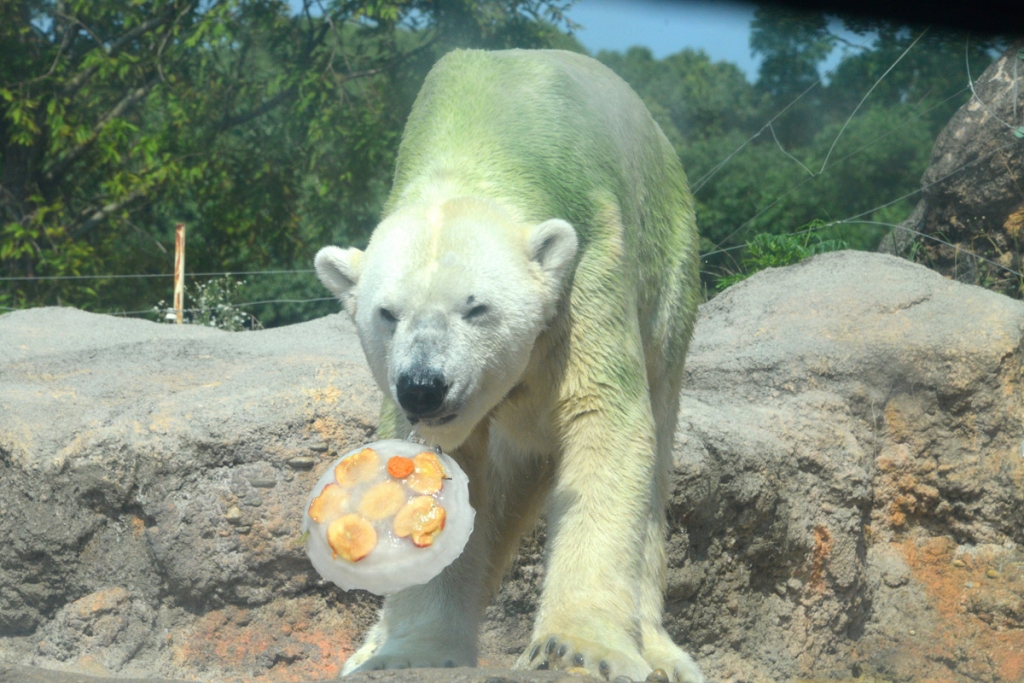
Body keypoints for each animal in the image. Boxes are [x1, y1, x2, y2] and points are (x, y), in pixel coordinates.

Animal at [313, 49, 704, 683]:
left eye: (476, 307)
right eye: (387, 313)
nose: (423, 387)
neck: (478, 144)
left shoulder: (588, 267)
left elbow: (604, 420)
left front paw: (576, 648)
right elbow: (432, 477)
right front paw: (408, 652)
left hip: (670, 266)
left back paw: (661, 653)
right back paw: (368, 648)